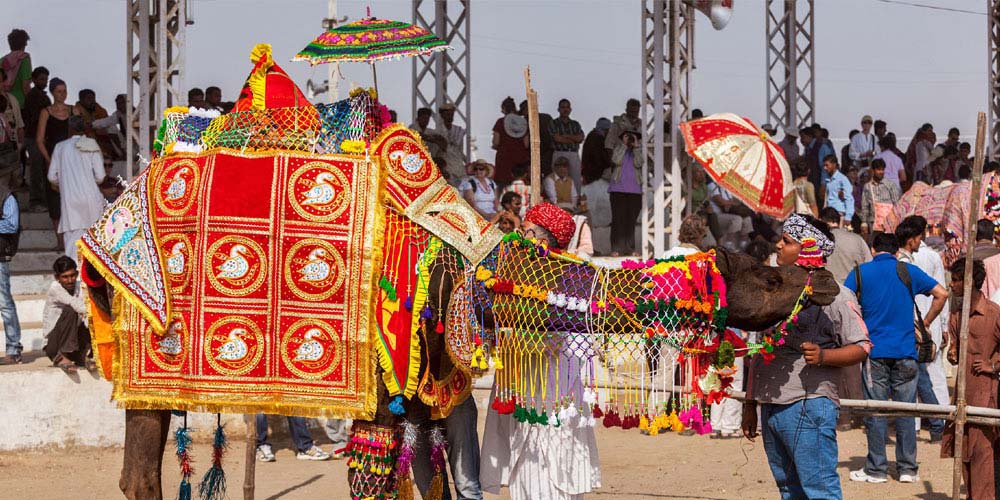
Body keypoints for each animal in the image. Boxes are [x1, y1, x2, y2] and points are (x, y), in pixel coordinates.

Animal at [80, 45, 844, 498]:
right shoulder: (378, 380)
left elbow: (436, 474)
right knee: (139, 469)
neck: (461, 264)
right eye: (767, 274)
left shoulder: (426, 387)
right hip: (151, 351)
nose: (825, 276)